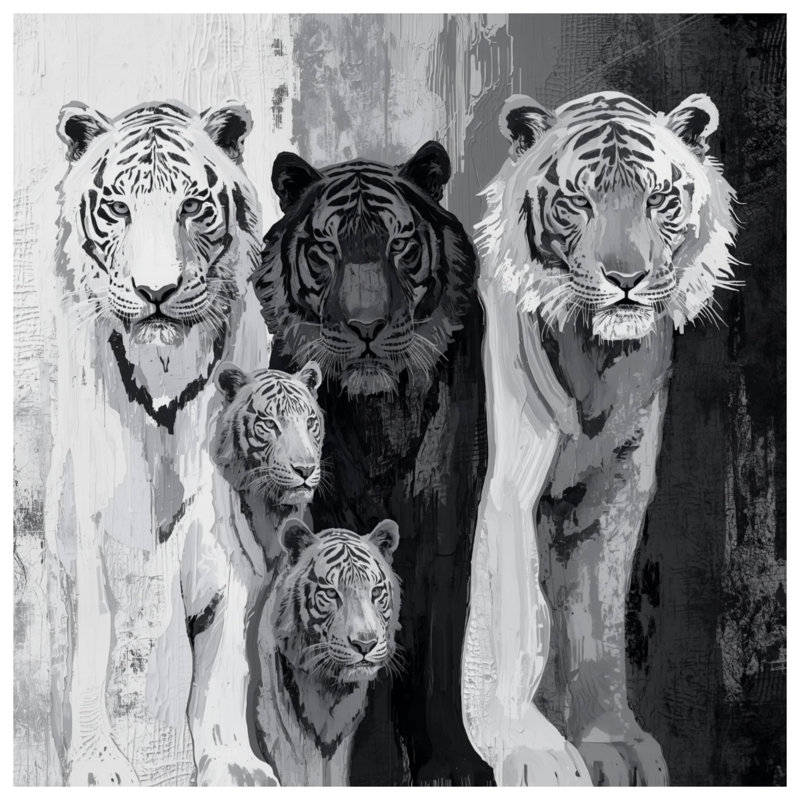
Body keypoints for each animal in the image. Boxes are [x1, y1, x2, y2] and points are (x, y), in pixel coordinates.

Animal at [45, 99, 273, 786]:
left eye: (193, 206)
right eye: (117, 208)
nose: (157, 292)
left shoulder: (233, 550)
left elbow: (225, 671)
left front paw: (236, 764)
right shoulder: (90, 539)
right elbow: (94, 650)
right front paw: (98, 766)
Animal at [256, 517, 402, 785]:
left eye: (376, 592)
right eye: (332, 593)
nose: (365, 644)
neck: (329, 687)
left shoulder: (344, 733)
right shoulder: (285, 728)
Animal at [460, 91, 738, 786]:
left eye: (659, 199)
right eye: (578, 202)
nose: (626, 279)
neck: (597, 354)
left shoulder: (611, 492)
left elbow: (596, 618)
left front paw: (612, 743)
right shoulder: (511, 483)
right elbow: (510, 613)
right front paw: (528, 750)